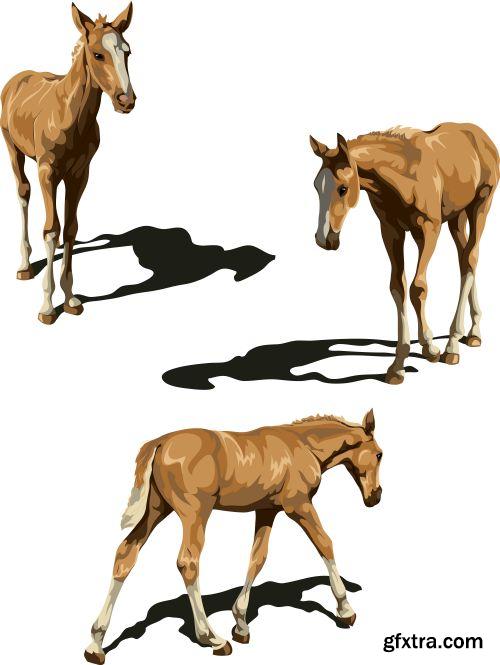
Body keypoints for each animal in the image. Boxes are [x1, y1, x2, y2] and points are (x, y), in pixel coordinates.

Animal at [1, 3, 135, 324]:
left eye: (128, 52)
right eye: (98, 54)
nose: (126, 100)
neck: (70, 115)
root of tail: (17, 79)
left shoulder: (79, 174)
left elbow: (71, 228)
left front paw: (71, 298)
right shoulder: (47, 171)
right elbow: (51, 229)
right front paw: (47, 306)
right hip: (13, 149)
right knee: (23, 194)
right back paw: (24, 265)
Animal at [84, 410, 382, 662]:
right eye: (379, 454)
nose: (375, 497)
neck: (302, 445)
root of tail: (159, 442)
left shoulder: (267, 510)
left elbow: (257, 558)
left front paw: (240, 624)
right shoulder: (298, 506)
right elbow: (325, 543)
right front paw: (346, 610)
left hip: (157, 510)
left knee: (126, 554)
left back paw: (96, 645)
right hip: (195, 514)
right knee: (188, 562)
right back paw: (211, 638)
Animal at [310, 124, 499, 384]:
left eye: (343, 188)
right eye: (316, 186)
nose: (324, 239)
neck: (404, 176)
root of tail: (481, 134)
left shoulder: (429, 230)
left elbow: (418, 288)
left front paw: (430, 347)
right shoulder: (391, 232)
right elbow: (397, 287)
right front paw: (398, 365)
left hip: (481, 205)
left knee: (471, 258)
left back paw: (453, 344)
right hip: (457, 216)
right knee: (464, 260)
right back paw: (473, 332)